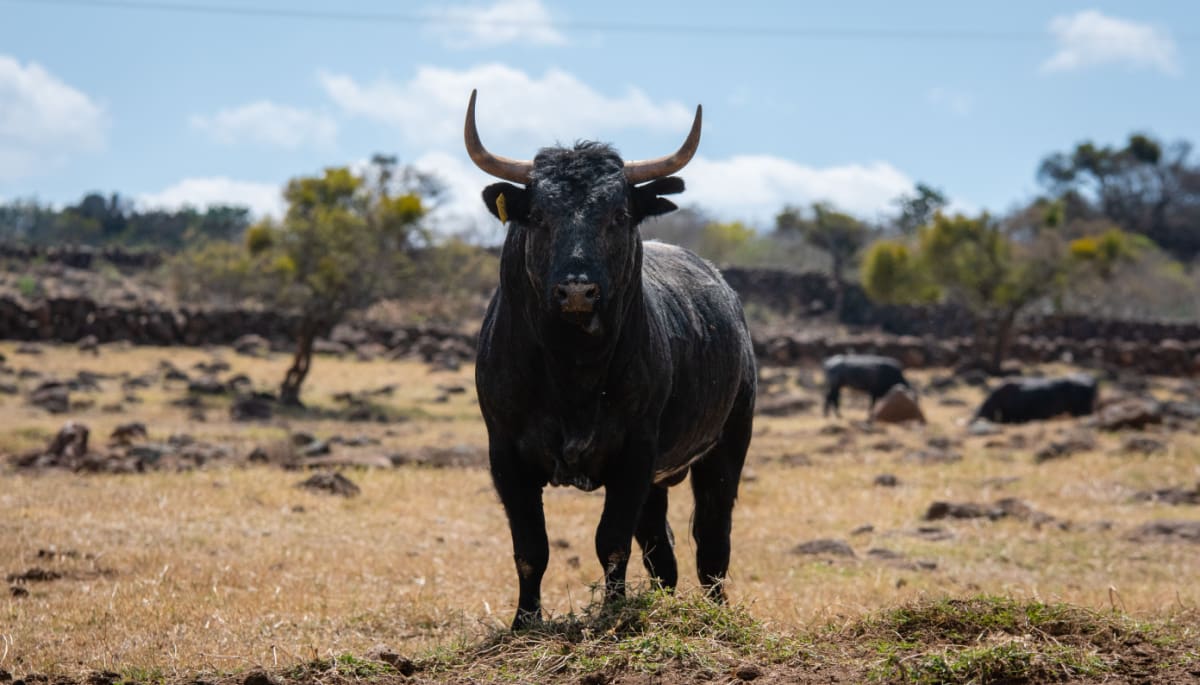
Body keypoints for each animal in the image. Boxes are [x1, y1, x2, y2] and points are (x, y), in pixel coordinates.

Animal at [463, 91, 753, 633]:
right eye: (539, 216)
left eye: (618, 215)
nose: (578, 289)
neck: (571, 370)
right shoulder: (505, 453)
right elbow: (531, 548)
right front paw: (524, 623)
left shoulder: (634, 452)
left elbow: (610, 542)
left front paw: (611, 615)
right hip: (660, 479)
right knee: (663, 550)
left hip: (726, 446)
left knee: (711, 541)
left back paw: (716, 613)